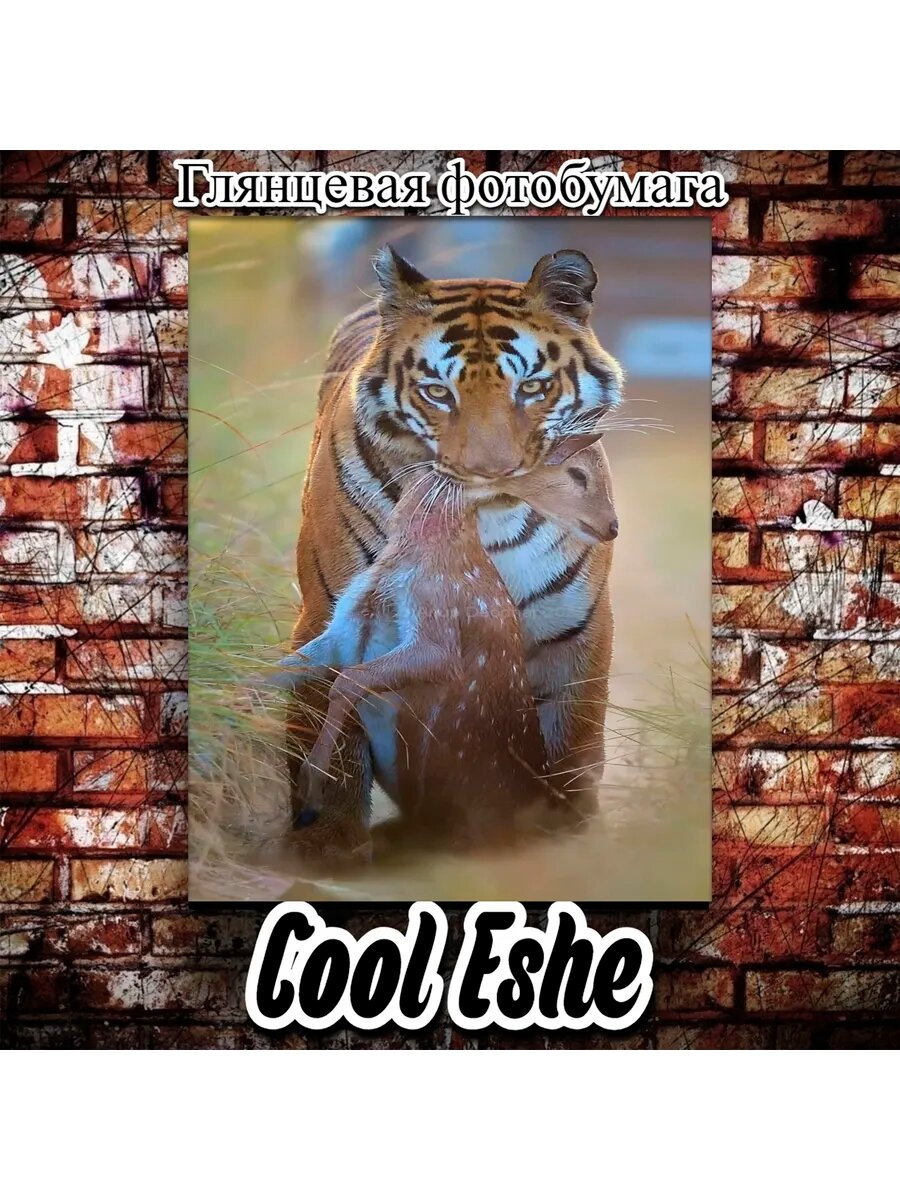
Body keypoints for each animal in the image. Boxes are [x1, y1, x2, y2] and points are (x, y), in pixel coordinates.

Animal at [285, 245, 623, 854]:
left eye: (531, 388)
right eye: (438, 392)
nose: (491, 472)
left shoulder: (576, 632)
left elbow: (570, 750)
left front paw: (565, 836)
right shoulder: (328, 619)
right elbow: (334, 746)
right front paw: (327, 845)